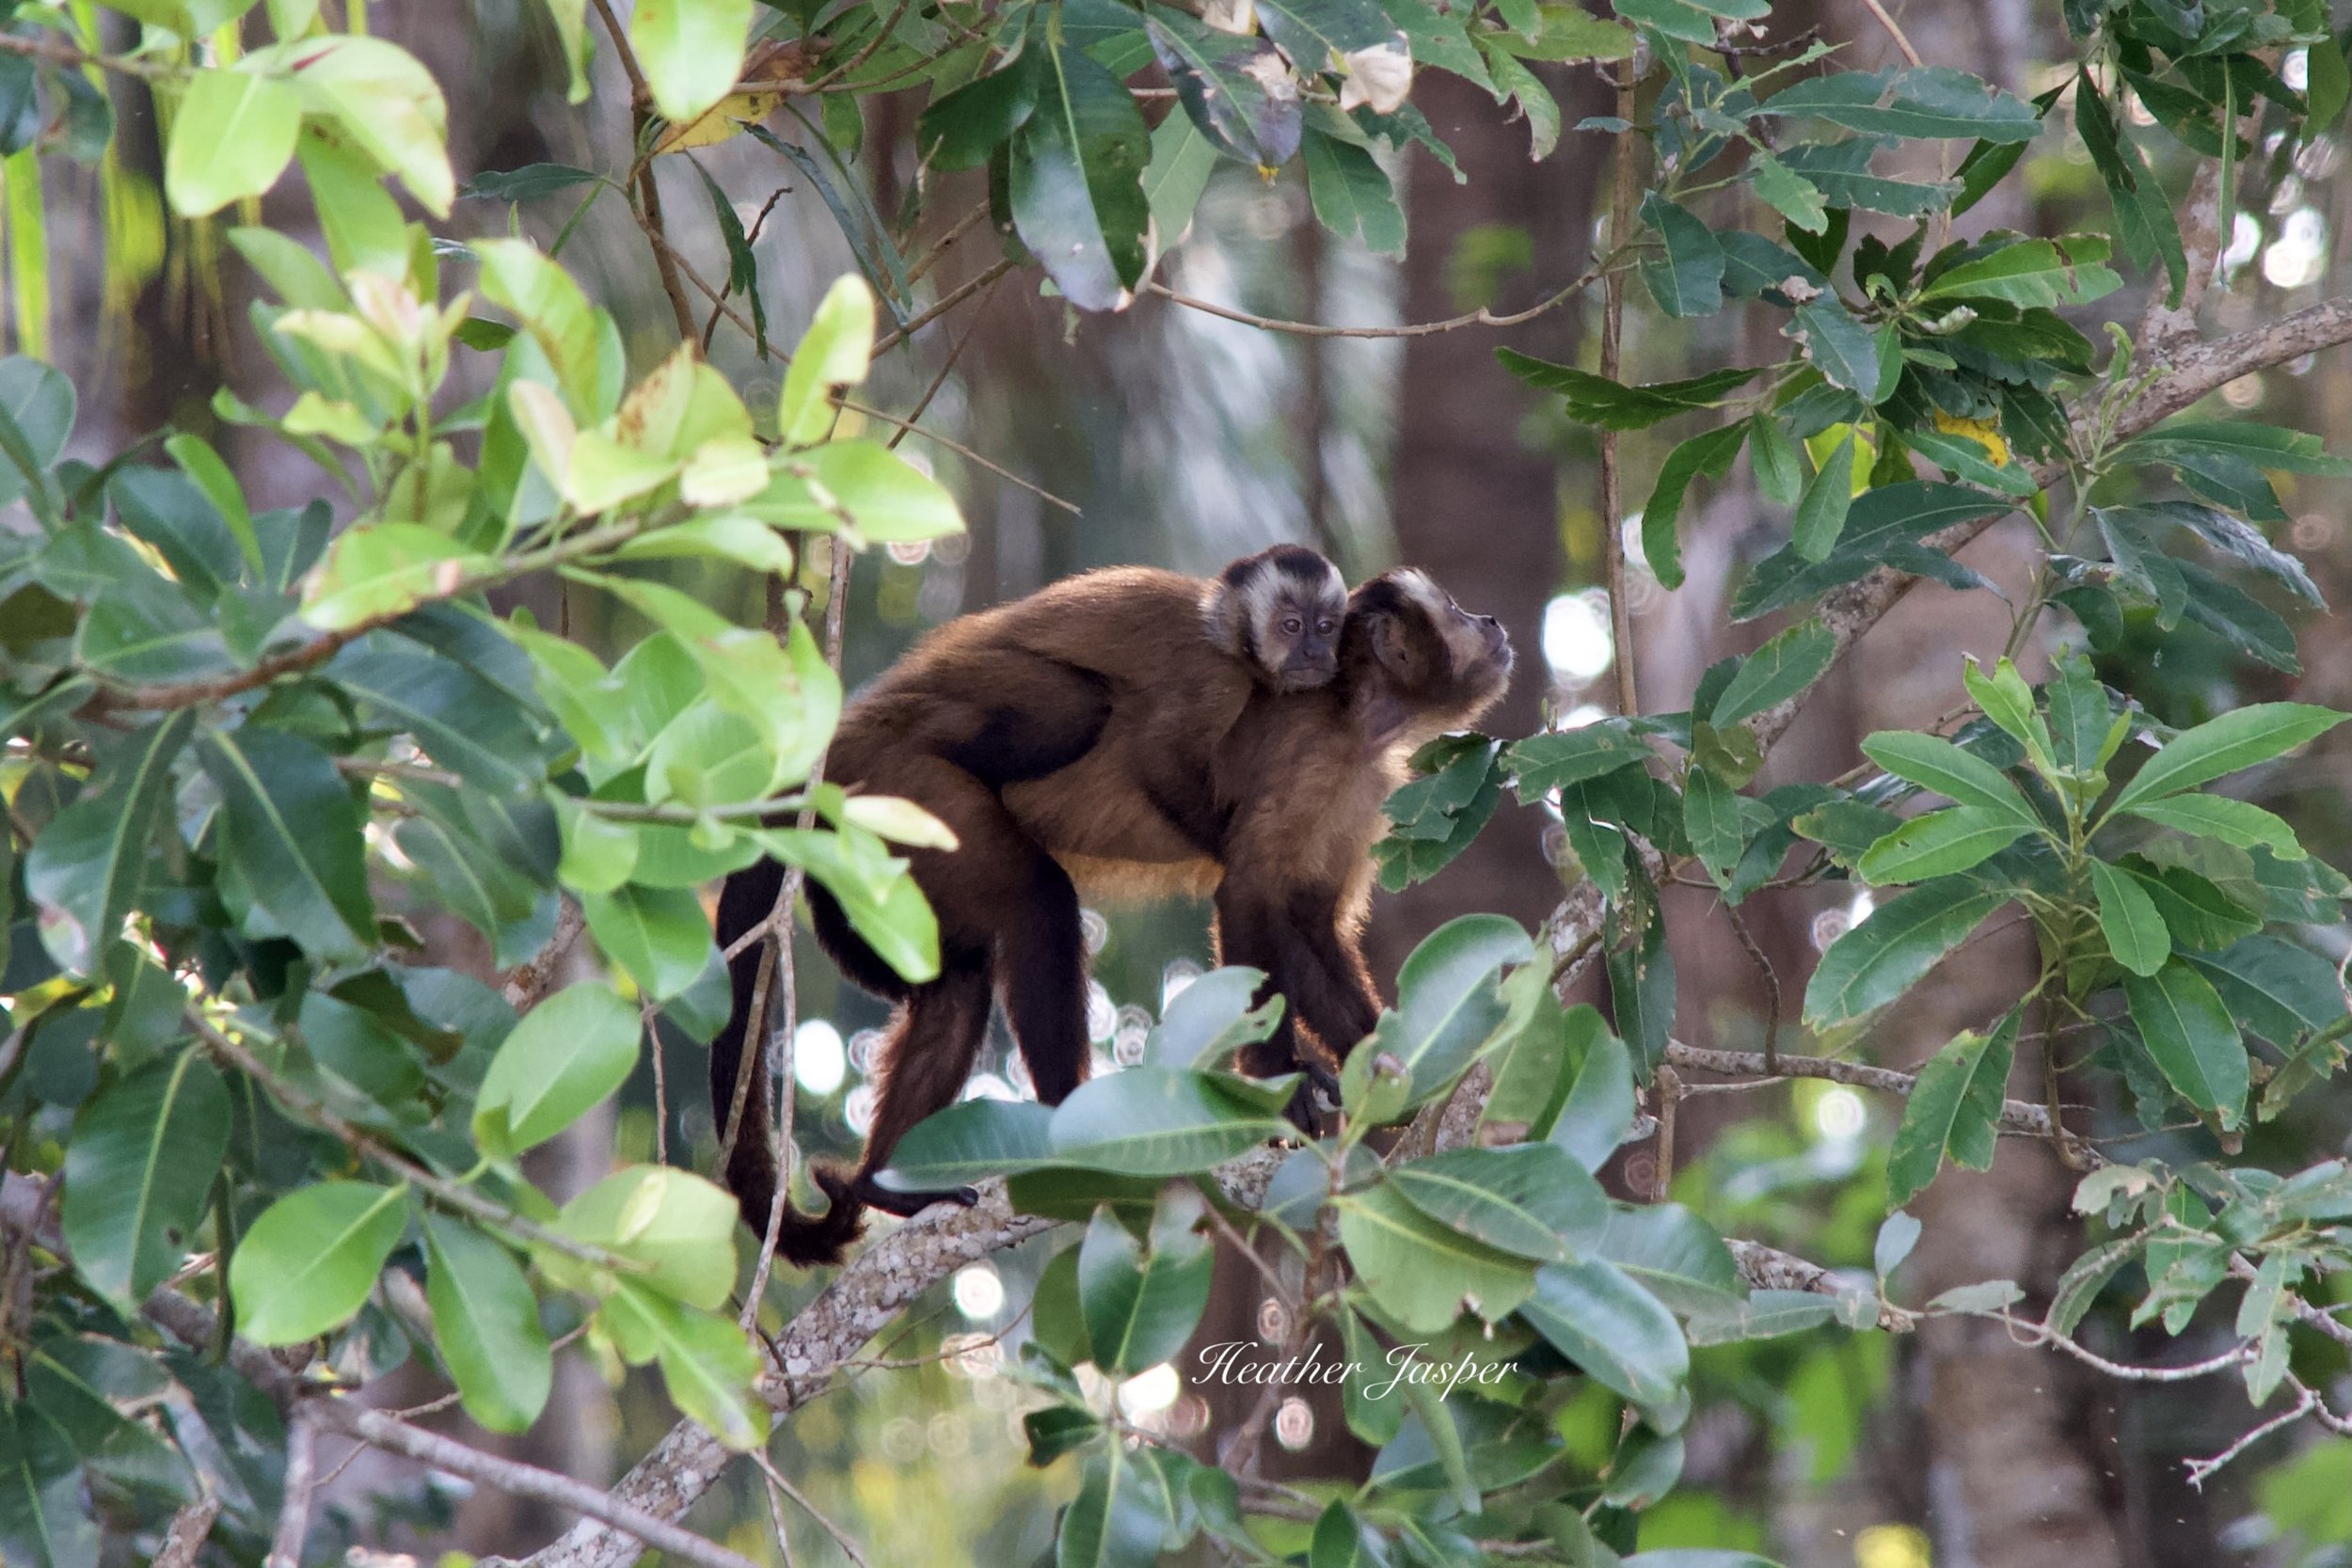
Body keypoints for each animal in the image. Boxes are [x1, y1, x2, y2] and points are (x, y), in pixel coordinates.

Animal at [710, 546, 1351, 1264]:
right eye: (1292, 624)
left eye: (1328, 625)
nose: (1315, 652)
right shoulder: (1213, 681)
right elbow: (1169, 772)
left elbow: (1295, 920)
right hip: (905, 781)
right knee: (1064, 754)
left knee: (958, 982)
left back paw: (884, 1185)